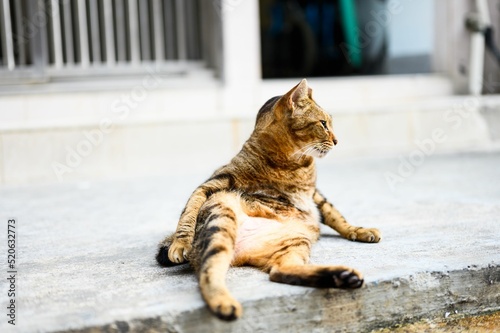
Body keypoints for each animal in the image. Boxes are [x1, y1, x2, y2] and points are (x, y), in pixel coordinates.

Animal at [156, 78, 378, 320]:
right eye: (323, 124)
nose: (337, 141)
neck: (296, 165)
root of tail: (243, 251)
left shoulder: (315, 194)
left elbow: (335, 215)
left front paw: (359, 230)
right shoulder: (214, 183)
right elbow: (189, 210)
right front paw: (180, 243)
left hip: (295, 242)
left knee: (279, 271)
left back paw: (343, 276)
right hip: (220, 219)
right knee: (209, 273)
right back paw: (224, 303)